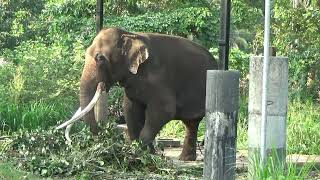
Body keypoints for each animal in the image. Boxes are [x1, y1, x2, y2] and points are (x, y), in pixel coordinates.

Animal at [57, 27, 218, 161]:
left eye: (100, 58)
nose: (100, 139)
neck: (131, 34)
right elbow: (130, 109)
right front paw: (138, 152)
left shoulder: (160, 79)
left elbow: (164, 110)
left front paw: (141, 153)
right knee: (191, 123)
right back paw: (185, 159)